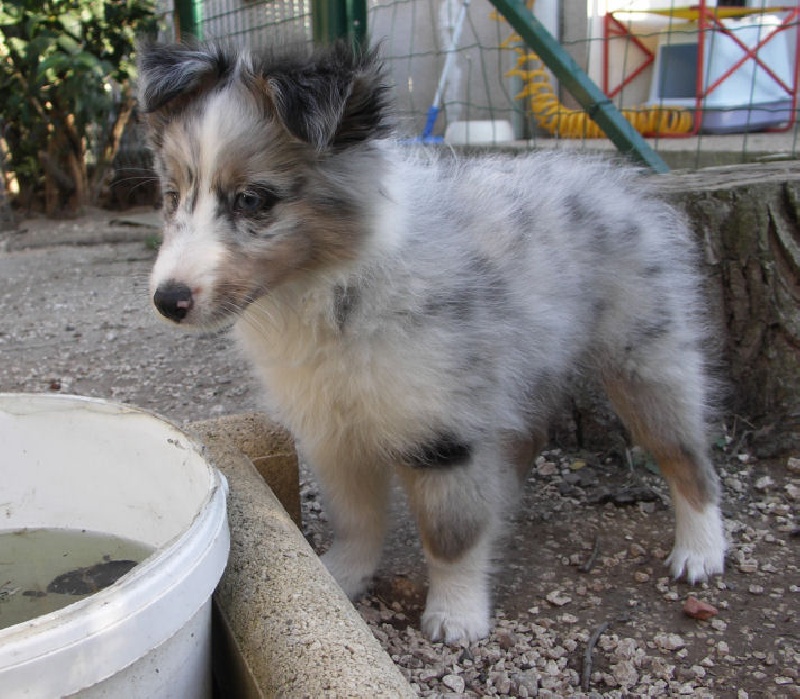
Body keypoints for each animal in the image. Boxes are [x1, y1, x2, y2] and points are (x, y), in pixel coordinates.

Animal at [138, 42, 724, 644]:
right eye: (171, 196)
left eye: (253, 200)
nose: (168, 299)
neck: (328, 290)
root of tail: (616, 182)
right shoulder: (332, 428)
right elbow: (357, 518)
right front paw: (340, 578)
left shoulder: (442, 431)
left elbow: (450, 536)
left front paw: (457, 614)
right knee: (527, 434)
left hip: (646, 356)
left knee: (686, 456)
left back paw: (700, 550)